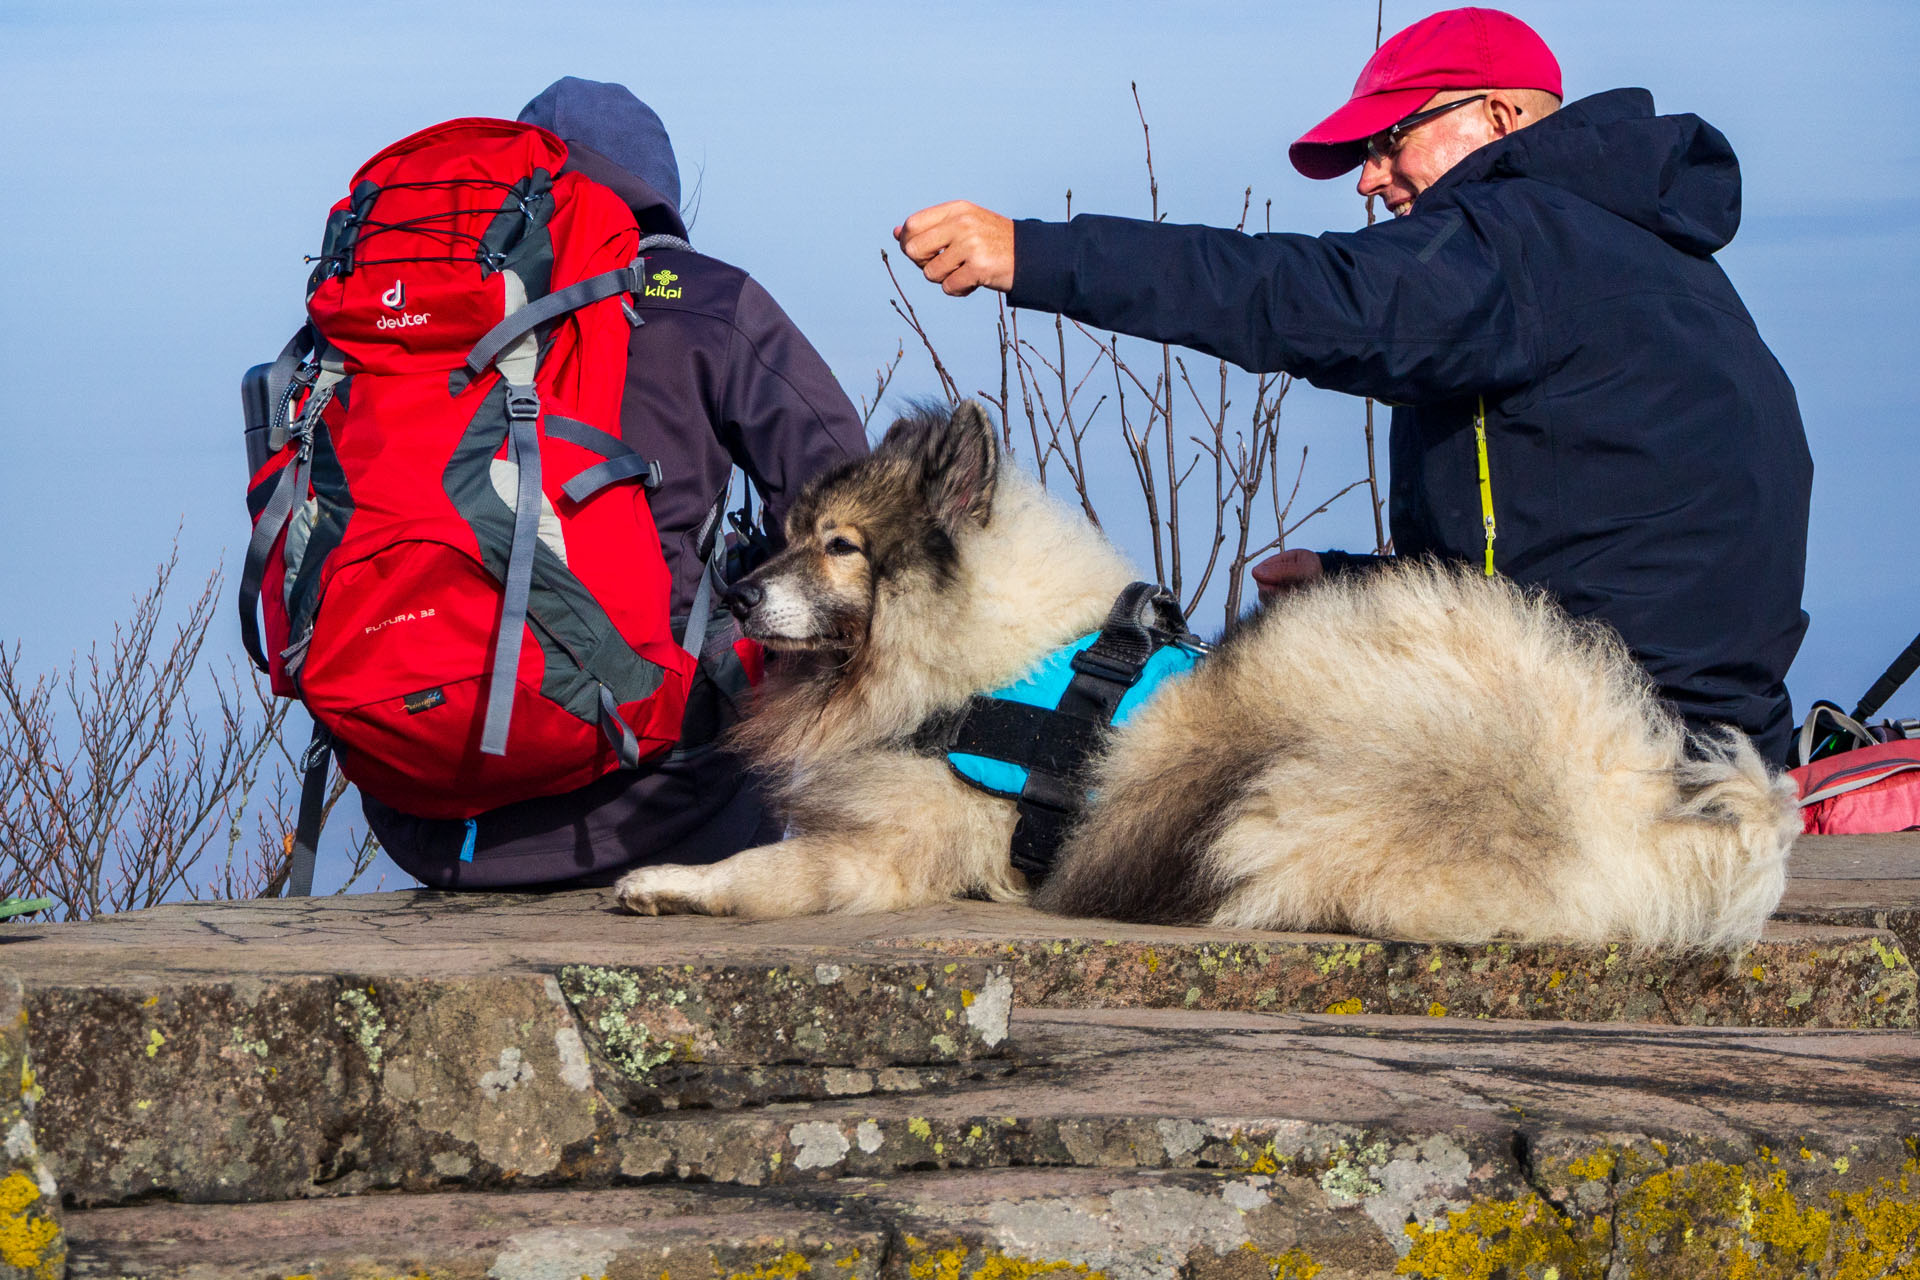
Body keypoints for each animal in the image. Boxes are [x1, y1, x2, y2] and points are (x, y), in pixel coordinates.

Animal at [618, 404, 1797, 948]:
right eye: (784, 537)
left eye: (840, 548)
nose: (735, 597)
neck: (977, 664)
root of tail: (1625, 814)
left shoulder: (889, 846)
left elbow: (775, 872)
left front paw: (669, 884)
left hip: (1283, 787)